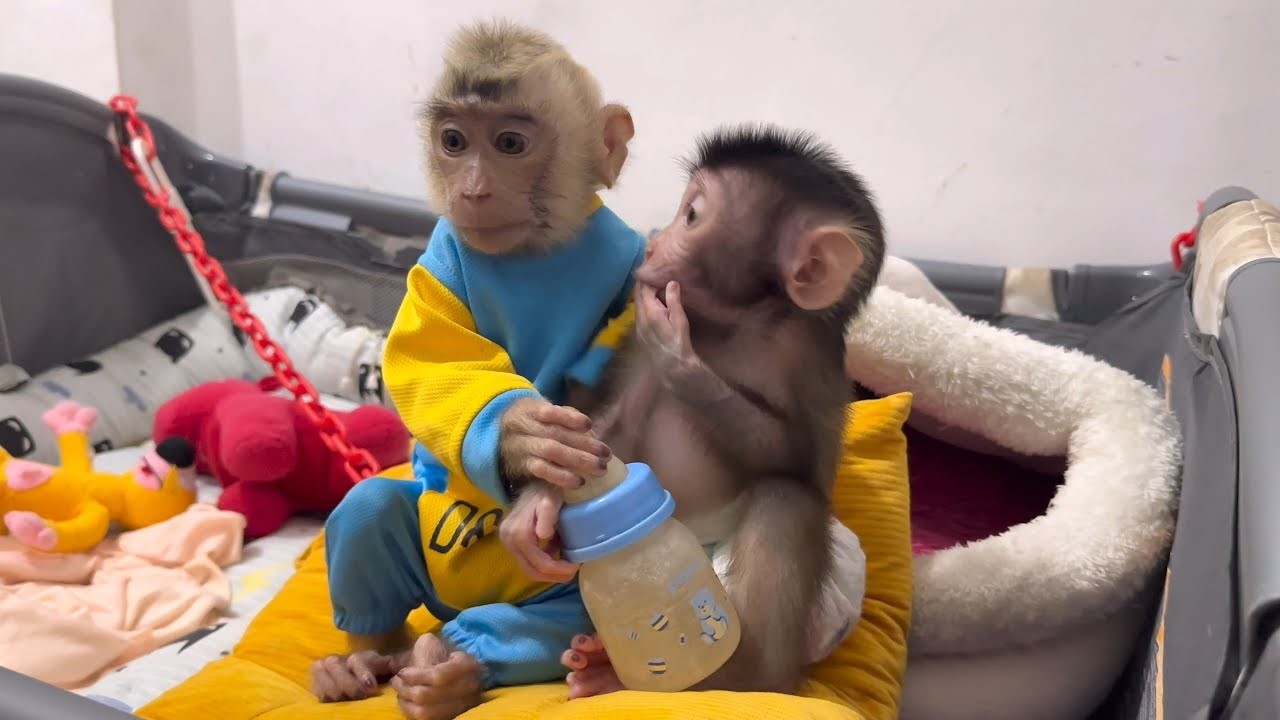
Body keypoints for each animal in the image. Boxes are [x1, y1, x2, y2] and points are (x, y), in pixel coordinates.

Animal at [308, 19, 648, 720]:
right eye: (454, 141)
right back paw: (368, 657)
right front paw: (521, 434)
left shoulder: (637, 265)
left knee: (567, 606)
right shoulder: (441, 255)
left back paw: (453, 670)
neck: (537, 251)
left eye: (510, 144)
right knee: (369, 505)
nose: (471, 190)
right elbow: (435, 358)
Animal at [500, 123, 887, 698]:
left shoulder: (807, 356)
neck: (735, 323)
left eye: (692, 216)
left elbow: (800, 462)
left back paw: (730, 675)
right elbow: (612, 429)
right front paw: (541, 496)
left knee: (785, 499)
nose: (655, 239)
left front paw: (682, 361)